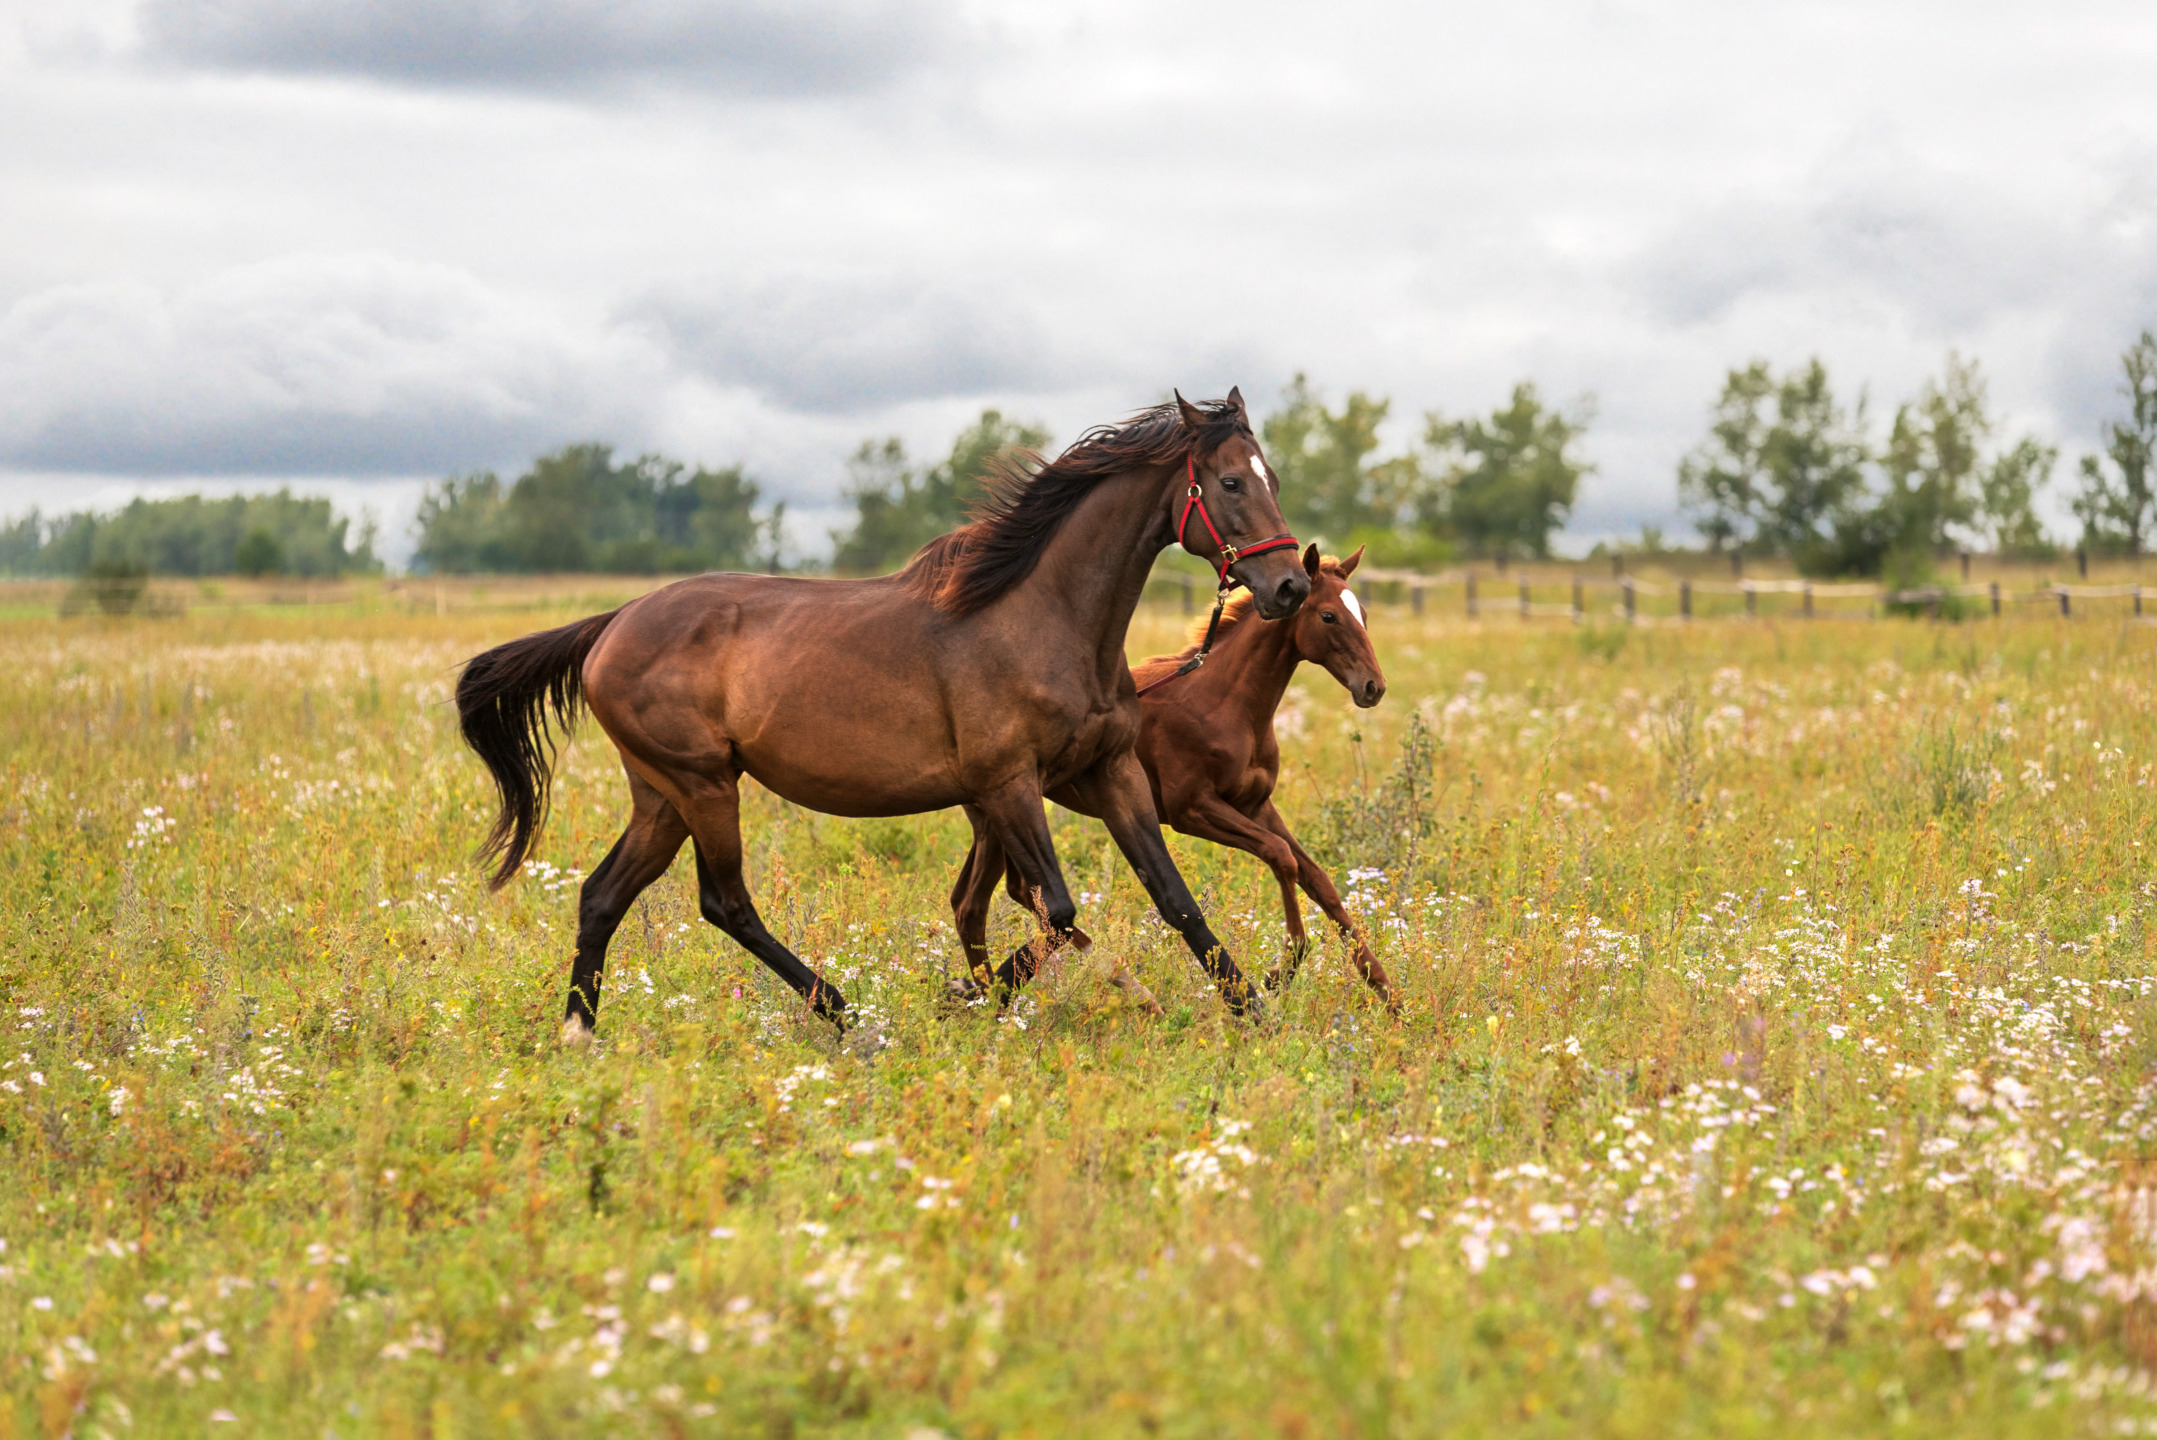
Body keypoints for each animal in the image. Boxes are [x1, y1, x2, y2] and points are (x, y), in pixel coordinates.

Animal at [455, 394, 1302, 1039]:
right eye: (1230, 481)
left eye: (1273, 476)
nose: (1290, 584)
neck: (1043, 619)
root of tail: (611, 624)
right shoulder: (1007, 784)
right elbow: (1056, 909)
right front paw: (977, 998)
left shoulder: (1113, 770)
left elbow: (1172, 897)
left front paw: (1252, 1010)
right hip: (703, 785)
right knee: (726, 903)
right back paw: (849, 1019)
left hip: (660, 795)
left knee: (602, 895)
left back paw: (580, 1035)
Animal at [949, 545, 1397, 1008]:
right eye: (1328, 616)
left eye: (1363, 612)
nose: (1373, 687)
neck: (1224, 704)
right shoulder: (1192, 810)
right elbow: (1281, 856)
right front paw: (1284, 966)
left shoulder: (1256, 805)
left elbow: (1318, 879)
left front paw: (1387, 993)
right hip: (1003, 813)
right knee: (996, 899)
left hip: (997, 820)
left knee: (980, 902)